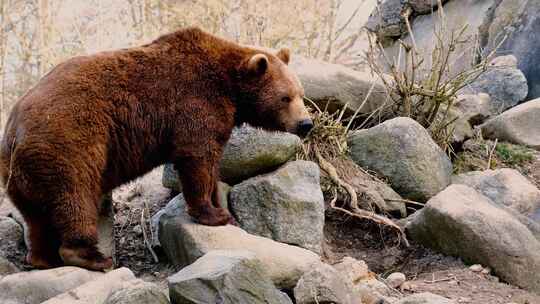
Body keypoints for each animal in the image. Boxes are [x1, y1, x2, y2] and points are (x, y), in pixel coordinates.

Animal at [0, 27, 312, 270]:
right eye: (285, 97)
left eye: (301, 94)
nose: (306, 123)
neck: (230, 86)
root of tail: (13, 133)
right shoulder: (194, 102)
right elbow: (197, 158)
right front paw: (213, 214)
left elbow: (212, 165)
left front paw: (224, 210)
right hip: (67, 144)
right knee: (76, 196)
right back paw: (94, 257)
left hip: (21, 174)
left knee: (36, 216)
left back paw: (42, 258)